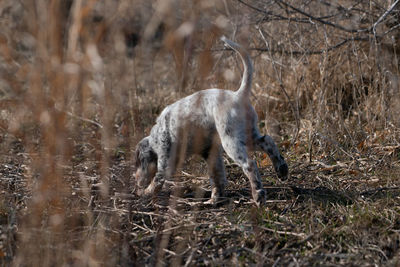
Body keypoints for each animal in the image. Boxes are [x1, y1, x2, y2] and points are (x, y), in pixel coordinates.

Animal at [134, 36, 288, 207]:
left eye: (138, 162)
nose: (135, 182)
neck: (156, 135)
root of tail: (238, 95)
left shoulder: (166, 159)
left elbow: (157, 180)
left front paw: (145, 192)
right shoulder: (210, 152)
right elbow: (217, 177)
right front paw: (214, 199)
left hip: (231, 141)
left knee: (250, 164)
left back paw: (258, 194)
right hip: (249, 134)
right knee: (268, 141)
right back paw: (281, 170)